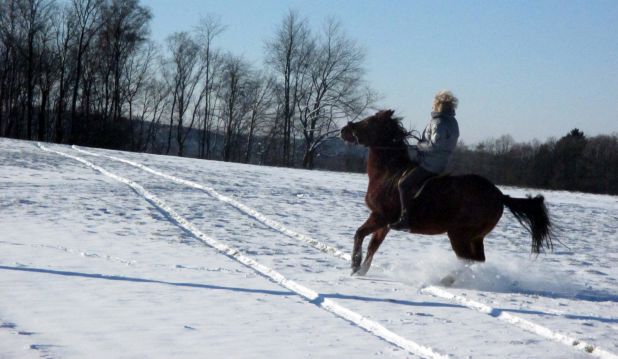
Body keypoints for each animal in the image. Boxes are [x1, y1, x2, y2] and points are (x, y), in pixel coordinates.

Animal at [340, 109, 552, 276]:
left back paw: (444, 280)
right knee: (477, 260)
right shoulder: (384, 223)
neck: (389, 174)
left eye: (370, 121)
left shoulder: (380, 216)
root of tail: (499, 195)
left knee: (467, 260)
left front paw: (354, 265)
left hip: (459, 235)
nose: (344, 130)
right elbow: (373, 245)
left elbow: (359, 234)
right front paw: (361, 270)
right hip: (475, 237)